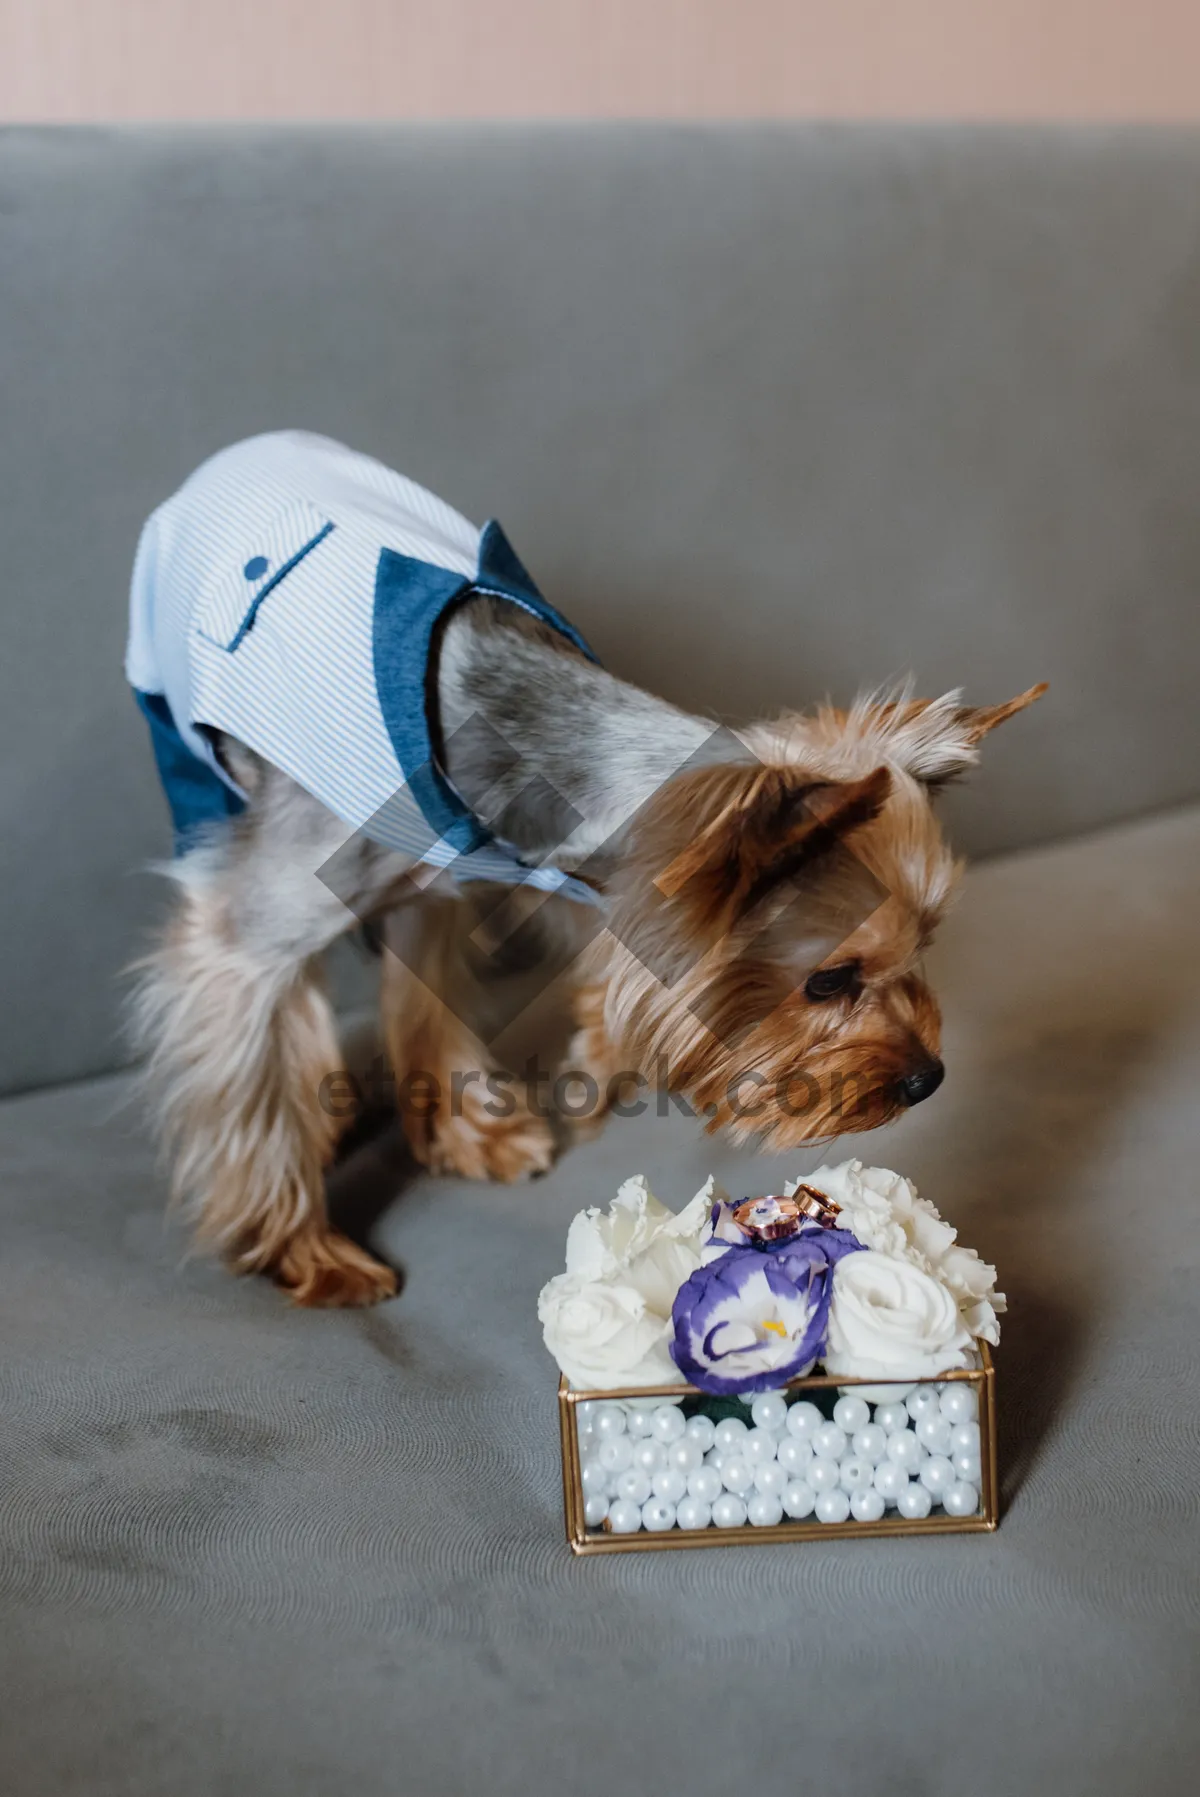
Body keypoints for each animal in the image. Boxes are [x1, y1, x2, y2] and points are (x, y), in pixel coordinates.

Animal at [123, 431, 1041, 1308]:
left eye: (924, 944)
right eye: (828, 980)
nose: (928, 1079)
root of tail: (232, 457)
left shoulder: (486, 870)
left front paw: (510, 1108)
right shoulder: (244, 937)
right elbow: (247, 1073)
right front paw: (302, 1249)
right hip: (184, 749)